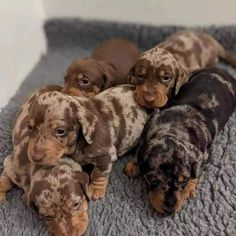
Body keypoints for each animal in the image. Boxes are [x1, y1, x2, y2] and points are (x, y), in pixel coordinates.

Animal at [125, 68, 236, 216]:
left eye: (184, 179)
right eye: (154, 180)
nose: (170, 210)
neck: (175, 129)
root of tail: (224, 71)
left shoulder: (206, 152)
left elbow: (198, 170)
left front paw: (189, 188)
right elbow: (139, 148)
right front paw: (133, 164)